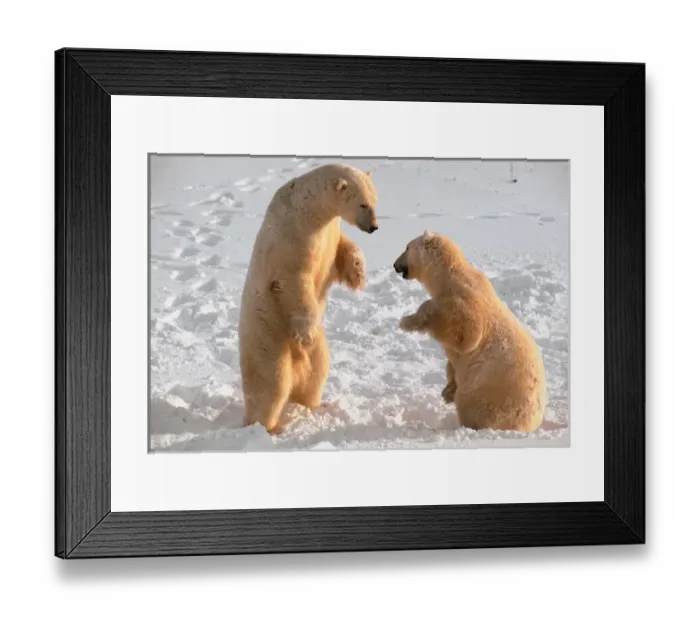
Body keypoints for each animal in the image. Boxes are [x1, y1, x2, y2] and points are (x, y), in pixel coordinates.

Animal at [238, 163, 379, 434]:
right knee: (271, 381)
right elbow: (296, 283)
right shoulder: (292, 241)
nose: (374, 227)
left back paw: (314, 405)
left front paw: (358, 273)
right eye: (362, 204)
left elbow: (343, 249)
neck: (310, 209)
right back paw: (268, 426)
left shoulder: (329, 232)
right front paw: (307, 335)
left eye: (375, 201)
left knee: (317, 368)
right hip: (267, 333)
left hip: (308, 354)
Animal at [392, 231, 547, 432]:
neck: (451, 276)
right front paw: (448, 390)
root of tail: (532, 423)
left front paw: (406, 322)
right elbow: (453, 360)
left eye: (407, 247)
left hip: (491, 397)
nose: (395, 265)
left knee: (472, 404)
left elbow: (466, 333)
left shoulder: (466, 300)